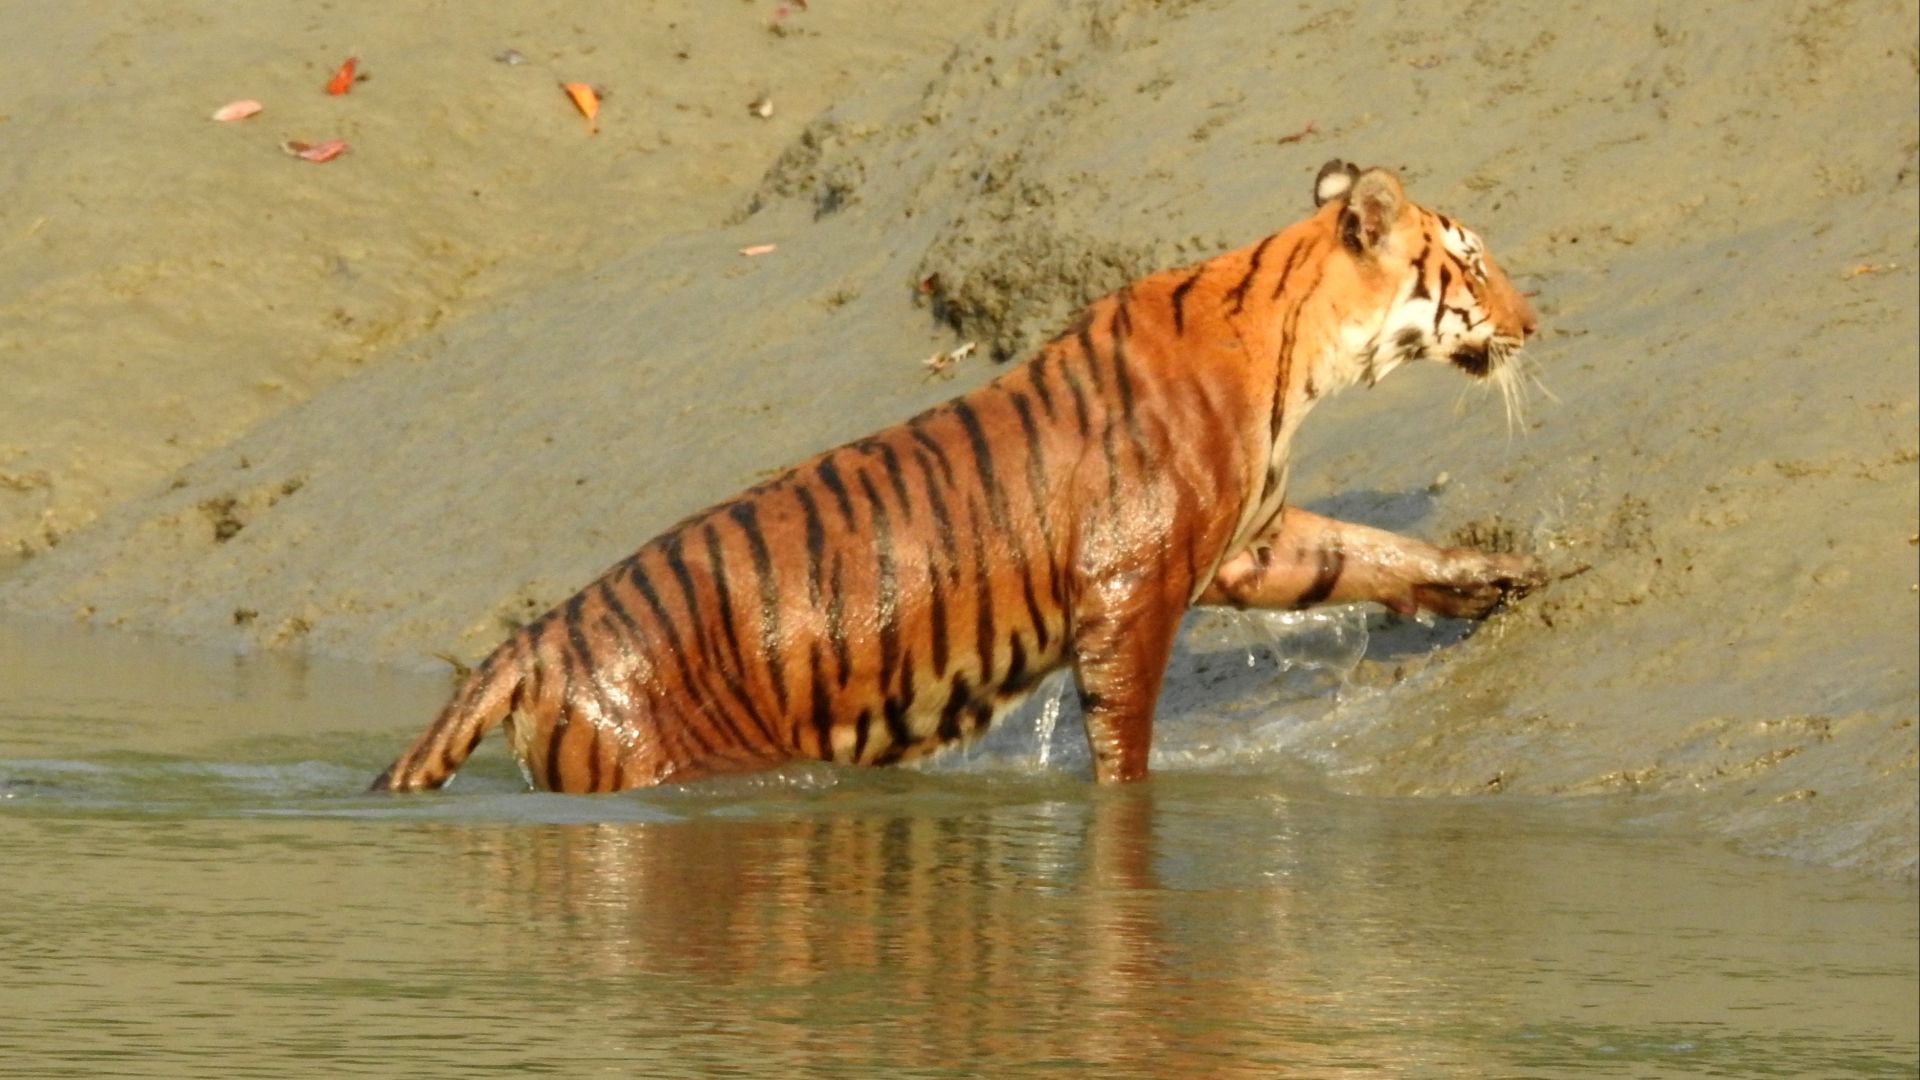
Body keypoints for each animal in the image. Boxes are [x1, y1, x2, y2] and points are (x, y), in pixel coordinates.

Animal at [371, 159, 1547, 794]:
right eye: (1474, 261)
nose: (1537, 322)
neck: (1302, 352)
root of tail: (529, 642)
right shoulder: (1131, 585)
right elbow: (1123, 737)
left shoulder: (1246, 543)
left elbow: (1366, 552)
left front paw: (1498, 577)